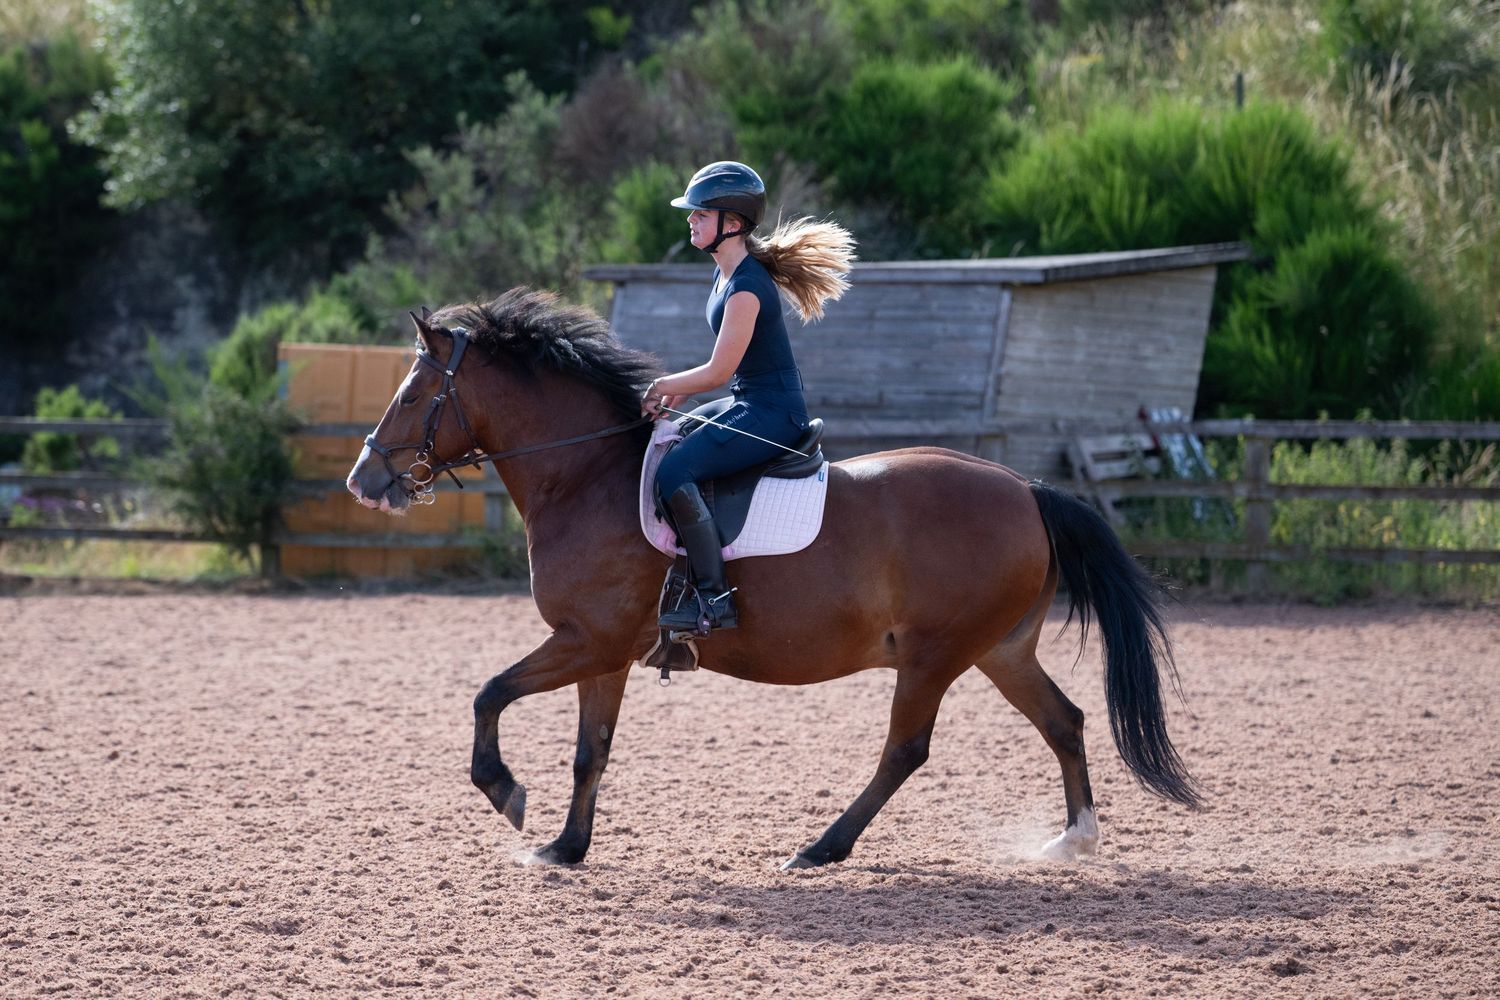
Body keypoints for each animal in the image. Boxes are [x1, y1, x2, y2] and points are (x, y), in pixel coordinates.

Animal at [346, 288, 1200, 870]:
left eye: (413, 394)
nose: (363, 481)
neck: (588, 474)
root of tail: (1025, 488)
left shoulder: (586, 641)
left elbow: (489, 694)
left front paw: (504, 792)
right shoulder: (603, 653)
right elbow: (591, 751)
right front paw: (565, 847)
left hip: (935, 655)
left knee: (906, 750)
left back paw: (821, 848)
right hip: (1001, 650)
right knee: (1064, 721)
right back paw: (1073, 839)